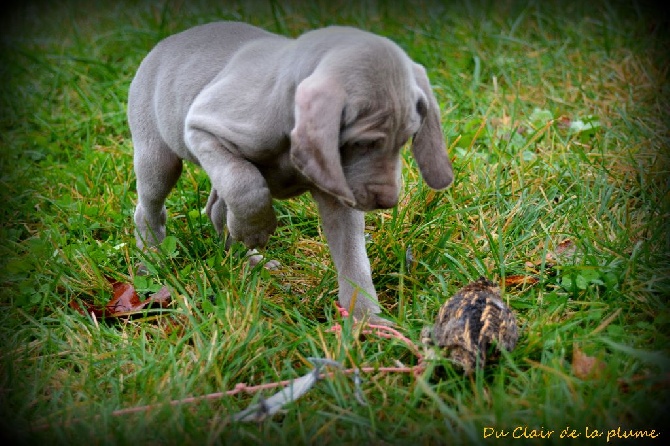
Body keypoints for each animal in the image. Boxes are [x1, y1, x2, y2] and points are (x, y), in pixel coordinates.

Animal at [129, 20, 454, 322]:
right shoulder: (202, 128)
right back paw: (152, 259)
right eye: (364, 142)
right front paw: (257, 230)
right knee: (150, 207)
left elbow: (353, 257)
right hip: (158, 157)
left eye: (406, 139)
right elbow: (244, 184)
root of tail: (169, 40)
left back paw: (246, 259)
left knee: (216, 210)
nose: (387, 202)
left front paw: (365, 319)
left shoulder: (338, 190)